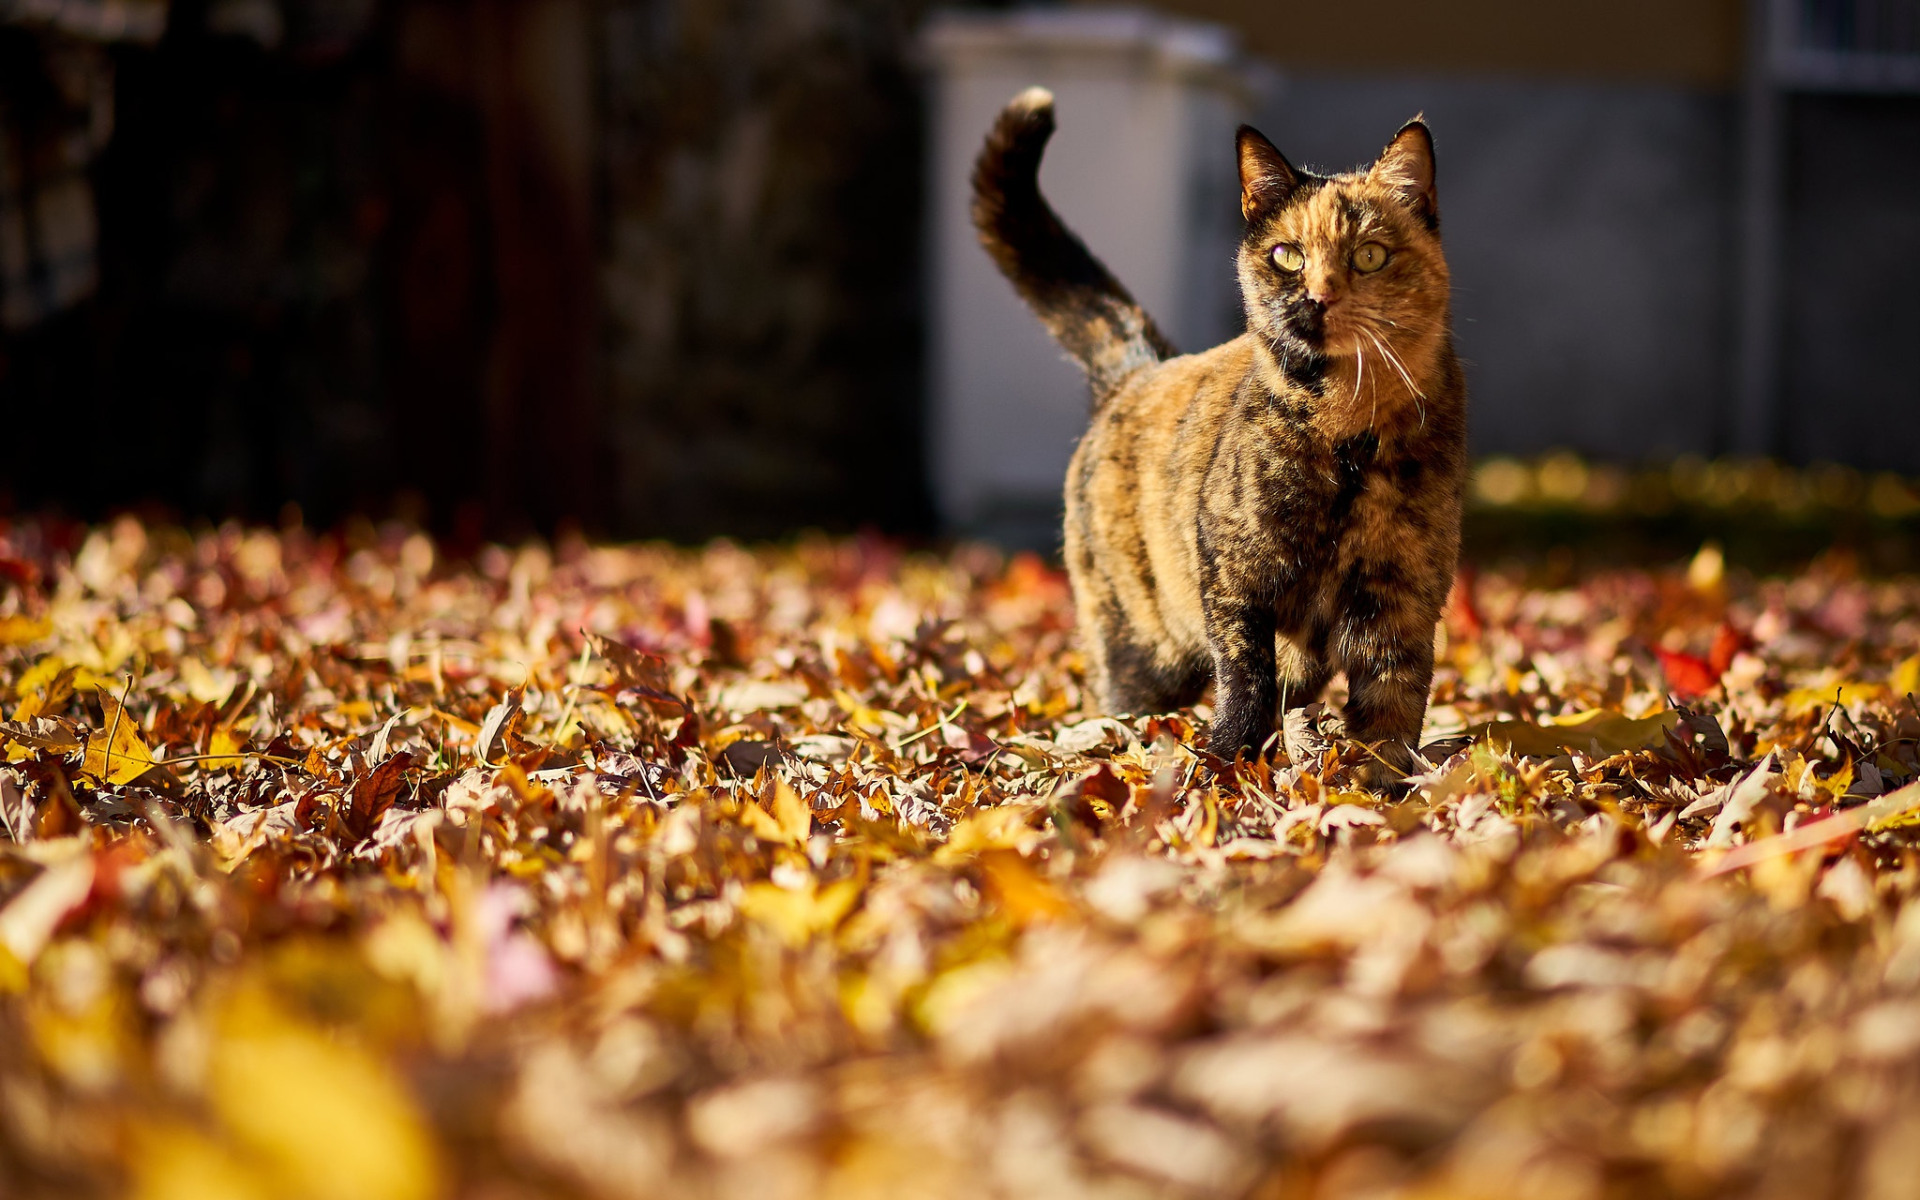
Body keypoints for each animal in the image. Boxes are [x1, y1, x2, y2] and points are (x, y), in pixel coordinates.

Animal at [975, 86, 1466, 775]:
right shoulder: (1235, 578)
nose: (1315, 298)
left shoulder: (1403, 594)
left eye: (1369, 255)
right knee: (1123, 694)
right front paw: (1222, 764)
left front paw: (1380, 784)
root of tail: (1138, 372)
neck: (1346, 432)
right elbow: (1245, 678)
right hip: (1139, 645)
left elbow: (1393, 705)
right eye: (1288, 255)